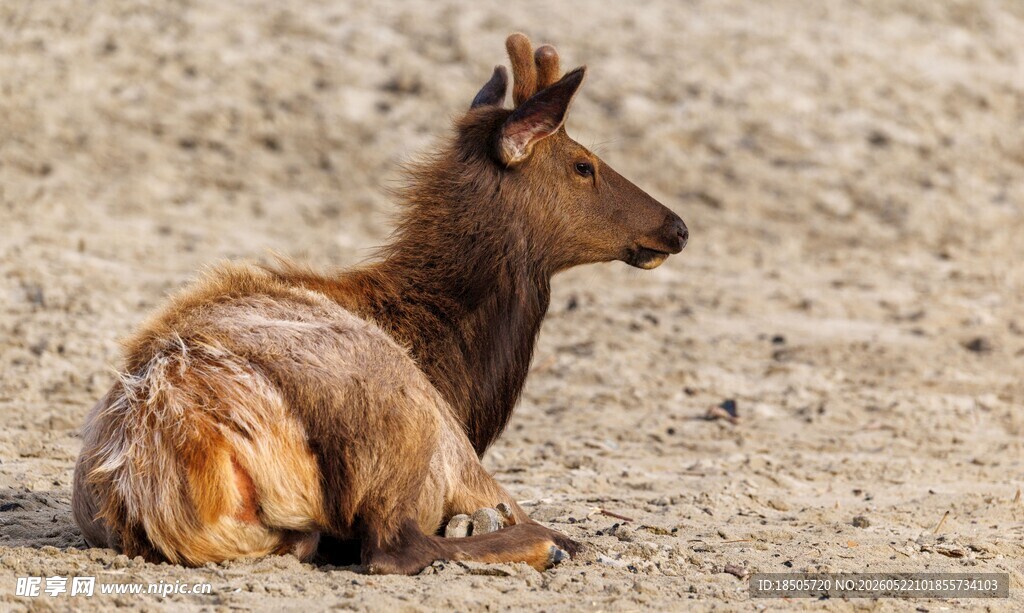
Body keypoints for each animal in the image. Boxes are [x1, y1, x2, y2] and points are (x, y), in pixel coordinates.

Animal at [71, 33, 688, 575]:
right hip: (405, 420)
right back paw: (541, 546)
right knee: (399, 547)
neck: (458, 373)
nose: (677, 227)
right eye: (584, 164)